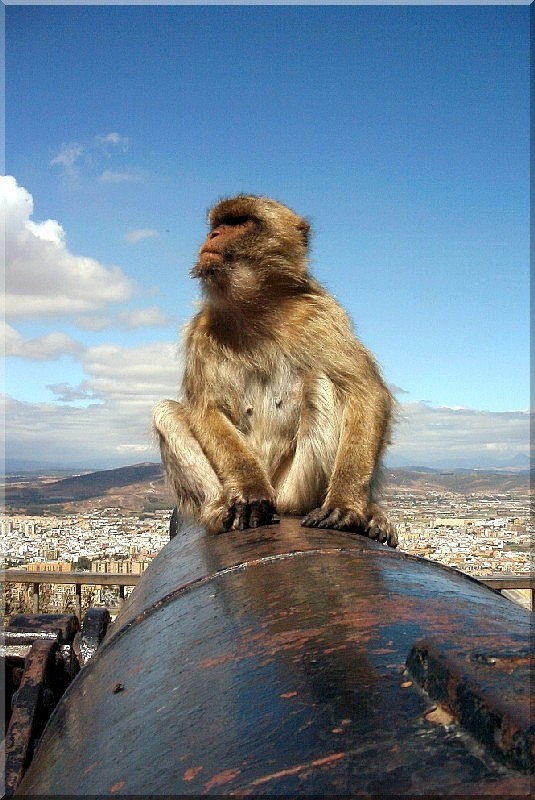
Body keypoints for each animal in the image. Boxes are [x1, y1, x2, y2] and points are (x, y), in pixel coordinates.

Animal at [153, 196, 400, 548]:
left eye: (239, 222)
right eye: (218, 224)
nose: (213, 235)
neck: (255, 309)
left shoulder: (322, 314)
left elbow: (365, 391)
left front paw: (346, 503)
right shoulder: (201, 331)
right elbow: (205, 410)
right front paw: (250, 490)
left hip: (291, 489)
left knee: (318, 382)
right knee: (166, 412)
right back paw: (219, 509)